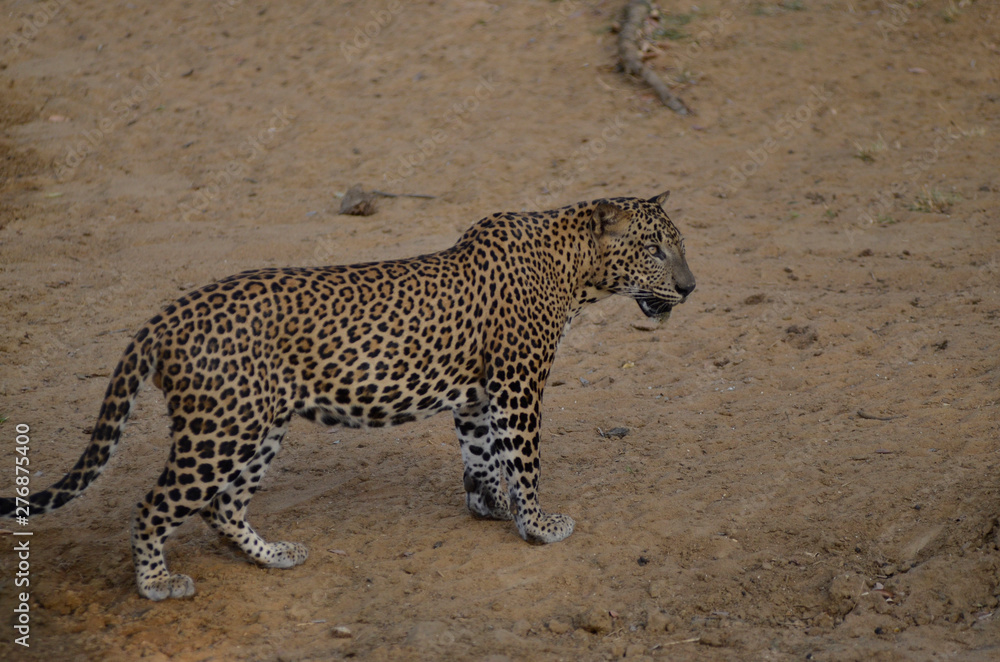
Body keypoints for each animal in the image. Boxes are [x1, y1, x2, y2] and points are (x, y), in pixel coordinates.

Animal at [1, 192, 695, 601]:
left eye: (679, 245)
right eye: (656, 249)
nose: (691, 287)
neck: (577, 271)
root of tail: (164, 316)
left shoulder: (478, 395)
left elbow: (482, 456)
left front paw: (492, 507)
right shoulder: (520, 382)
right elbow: (523, 459)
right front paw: (541, 523)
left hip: (258, 427)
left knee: (221, 506)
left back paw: (275, 555)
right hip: (220, 430)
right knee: (155, 505)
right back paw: (158, 583)